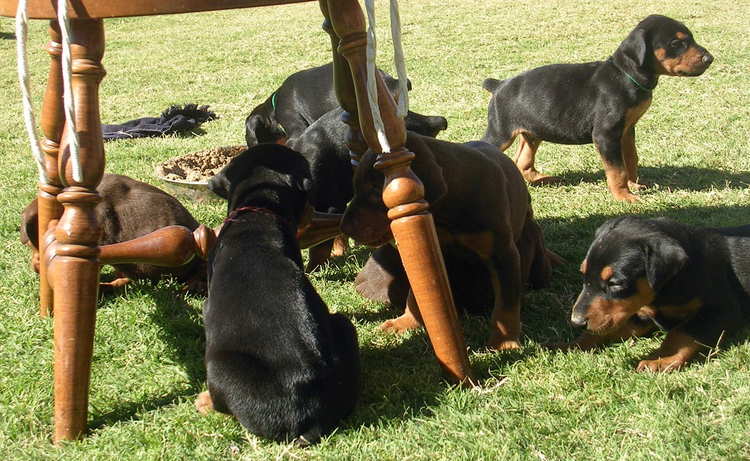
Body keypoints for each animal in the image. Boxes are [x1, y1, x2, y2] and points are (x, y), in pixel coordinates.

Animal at [198, 144, 360, 442]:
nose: (315, 212)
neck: (259, 211)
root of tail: (307, 417)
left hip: (218, 367)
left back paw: (204, 401)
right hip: (344, 324)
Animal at [344, 135, 556, 346]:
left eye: (375, 190)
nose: (344, 226)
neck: (446, 217)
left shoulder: (503, 254)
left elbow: (506, 303)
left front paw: (504, 342)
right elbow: (416, 296)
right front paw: (405, 322)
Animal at [484, 14, 712, 201]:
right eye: (676, 42)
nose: (709, 58)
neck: (626, 75)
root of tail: (499, 85)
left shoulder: (626, 130)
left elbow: (631, 158)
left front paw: (634, 184)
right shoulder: (606, 134)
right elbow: (617, 169)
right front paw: (623, 195)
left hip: (534, 130)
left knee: (522, 160)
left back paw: (544, 179)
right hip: (501, 133)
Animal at [568, 216, 750, 370]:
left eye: (615, 283)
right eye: (583, 275)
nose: (576, 322)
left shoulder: (721, 310)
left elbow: (680, 333)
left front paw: (660, 359)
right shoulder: (639, 314)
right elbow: (603, 331)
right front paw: (570, 346)